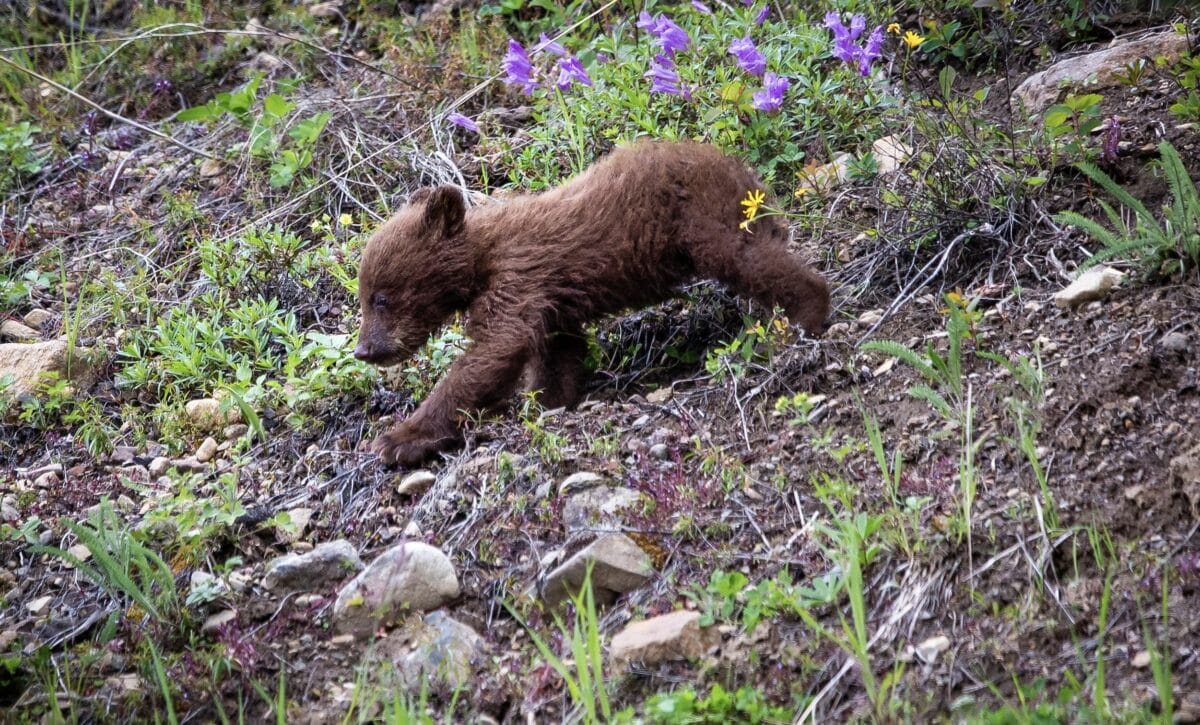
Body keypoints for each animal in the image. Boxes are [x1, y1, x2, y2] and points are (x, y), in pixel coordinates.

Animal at [355, 140, 831, 466]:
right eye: (364, 296)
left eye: (381, 297)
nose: (364, 350)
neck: (480, 260)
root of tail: (742, 170)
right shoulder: (550, 300)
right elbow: (556, 351)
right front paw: (549, 400)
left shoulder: (518, 275)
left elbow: (494, 348)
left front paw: (399, 439)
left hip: (704, 218)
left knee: (751, 259)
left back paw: (808, 316)